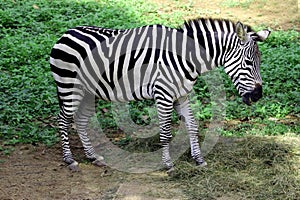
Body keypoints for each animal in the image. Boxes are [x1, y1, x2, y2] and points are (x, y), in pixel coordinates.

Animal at [49, 18, 270, 172]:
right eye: (249, 63)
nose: (257, 96)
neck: (187, 58)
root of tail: (66, 33)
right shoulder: (163, 94)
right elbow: (165, 132)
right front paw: (168, 164)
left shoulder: (182, 94)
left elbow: (192, 126)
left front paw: (198, 159)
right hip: (70, 86)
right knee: (63, 119)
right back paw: (69, 160)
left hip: (88, 92)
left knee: (80, 120)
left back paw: (93, 156)